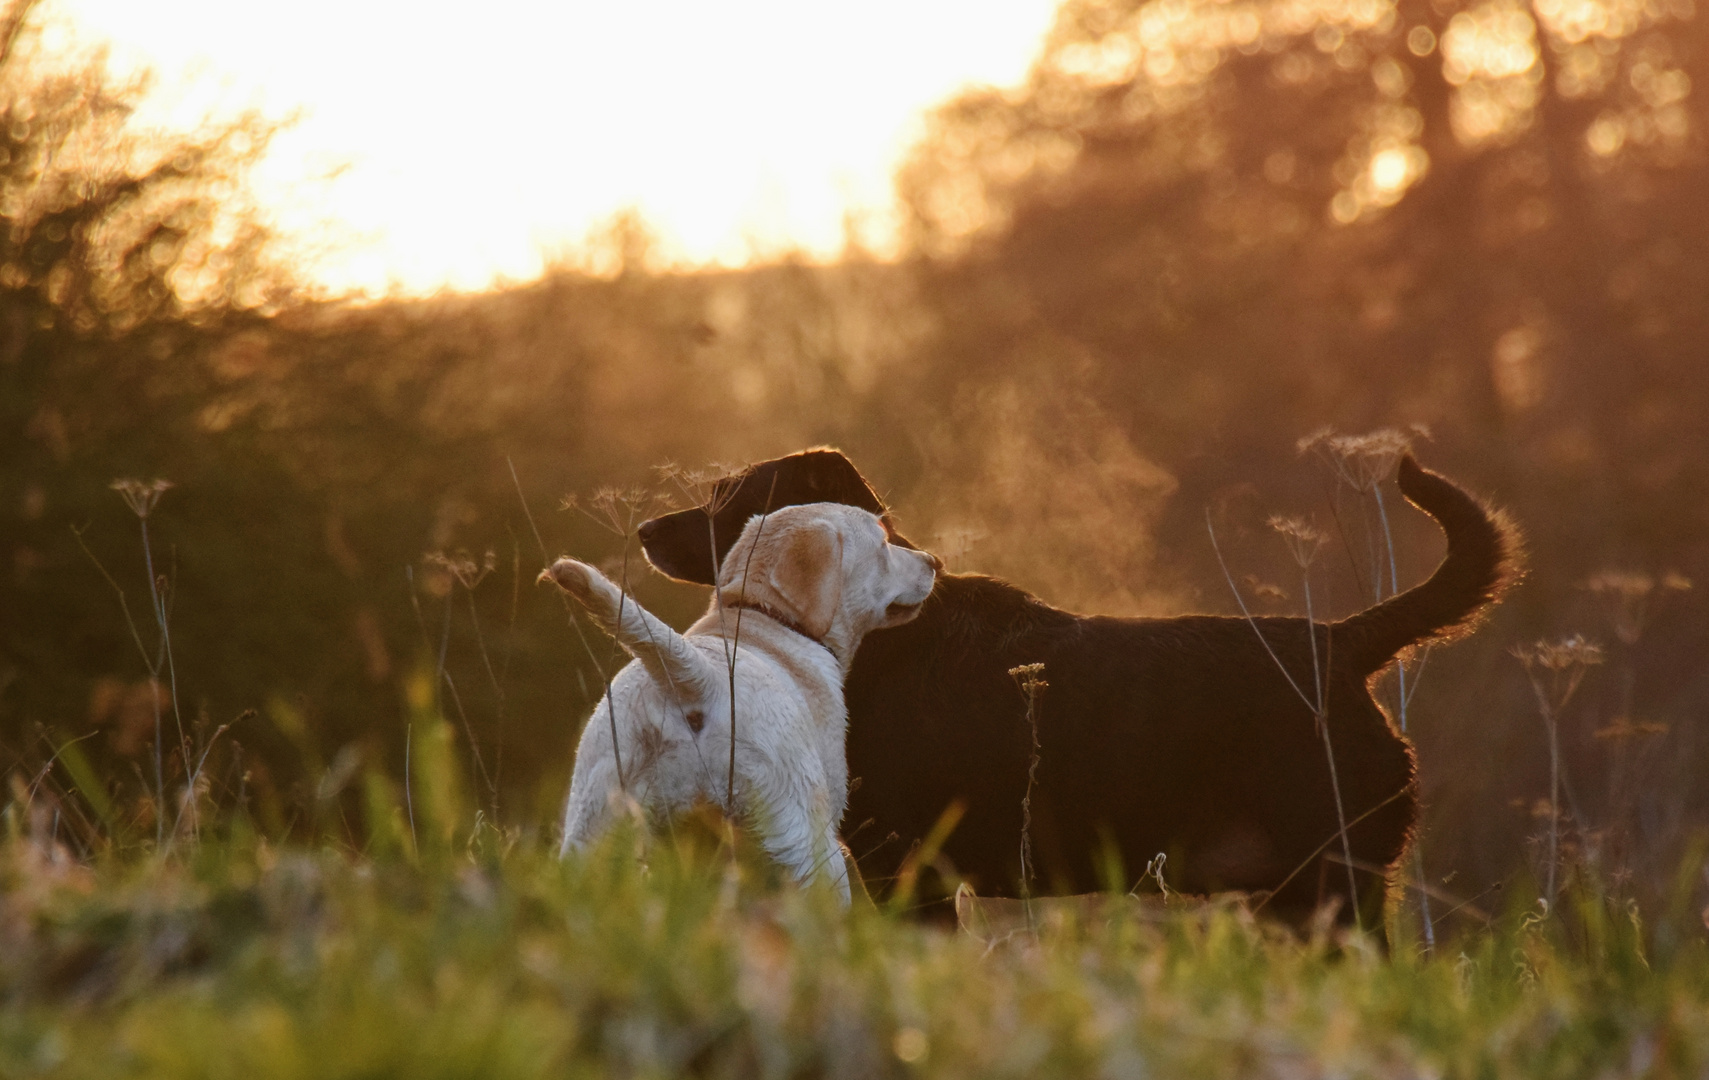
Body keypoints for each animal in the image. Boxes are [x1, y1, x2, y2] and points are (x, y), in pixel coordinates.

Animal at [546, 505, 943, 902]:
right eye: (884, 544)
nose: (933, 561)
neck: (763, 614)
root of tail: (700, 678)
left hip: (594, 826)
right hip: (805, 841)